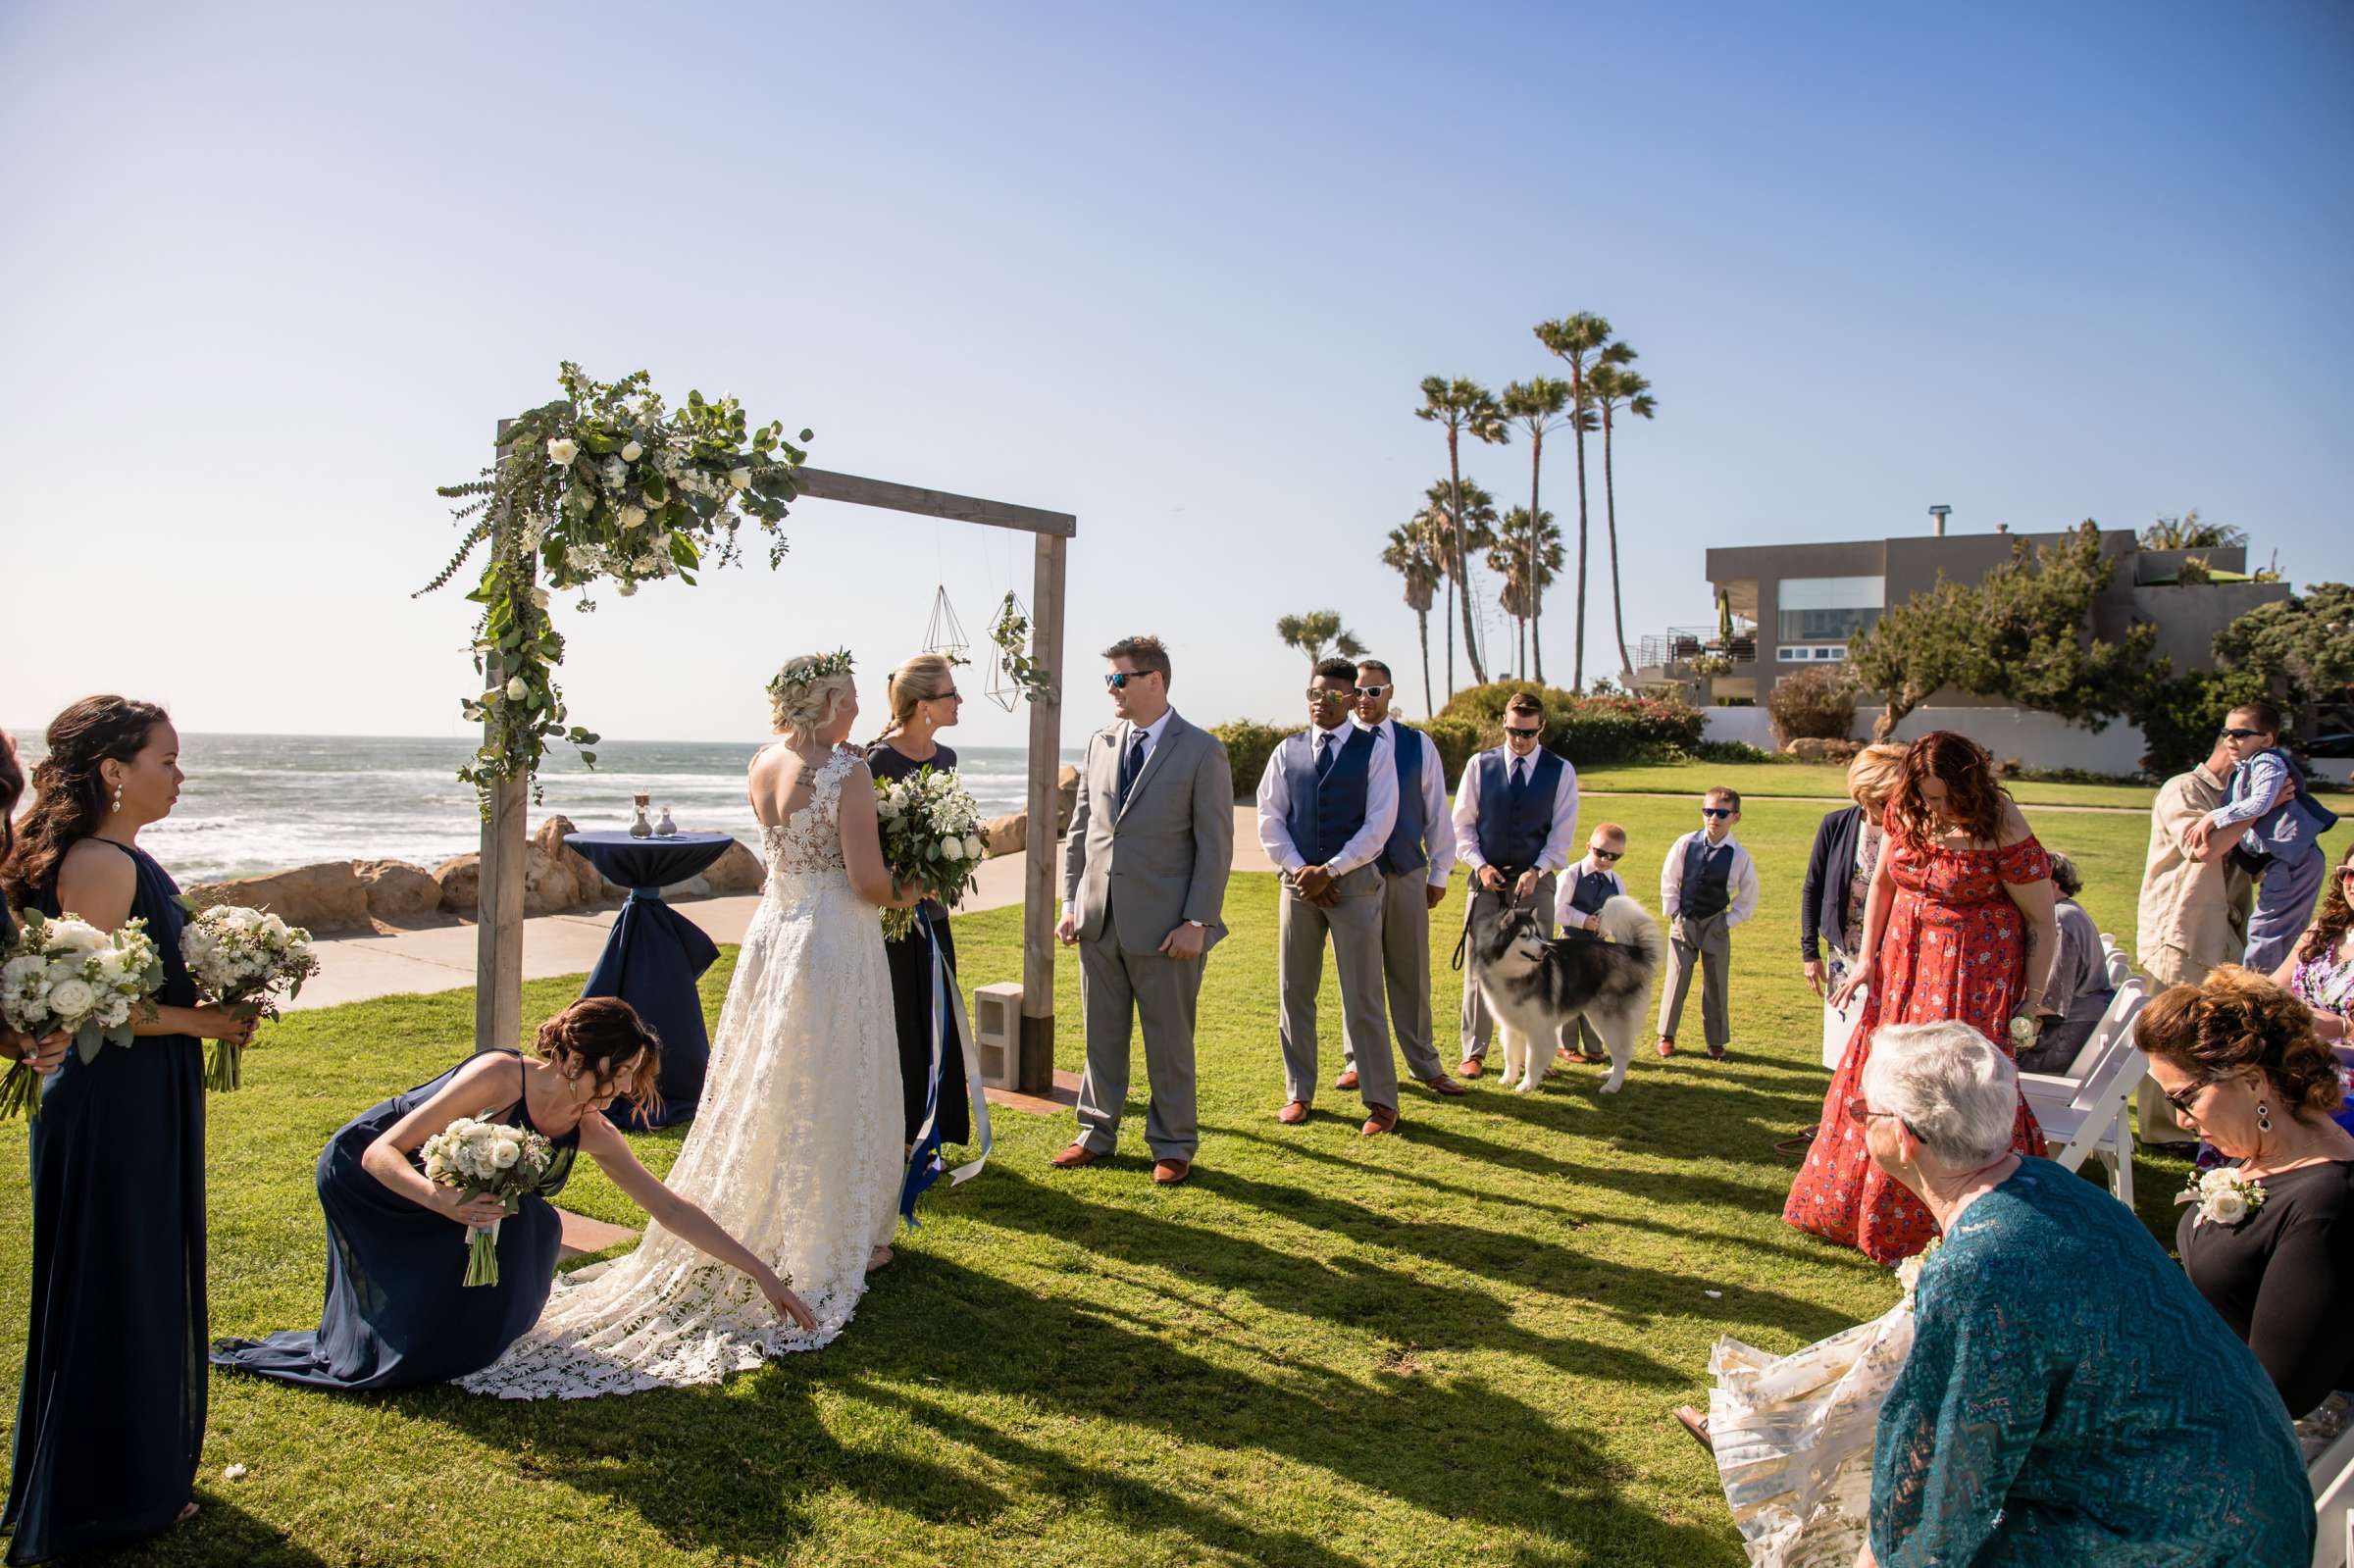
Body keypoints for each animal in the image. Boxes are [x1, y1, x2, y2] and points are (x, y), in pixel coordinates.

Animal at [1478, 889, 1666, 1087]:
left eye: (1536, 934)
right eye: (1523, 935)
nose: (1545, 948)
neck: (1516, 974)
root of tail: (1633, 952)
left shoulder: (1539, 1026)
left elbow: (1531, 1060)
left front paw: (1526, 1085)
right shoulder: (1510, 1024)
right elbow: (1510, 1055)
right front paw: (1508, 1079)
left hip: (1608, 1019)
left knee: (1622, 1053)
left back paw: (1612, 1086)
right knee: (1624, 1050)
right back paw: (1610, 1074)